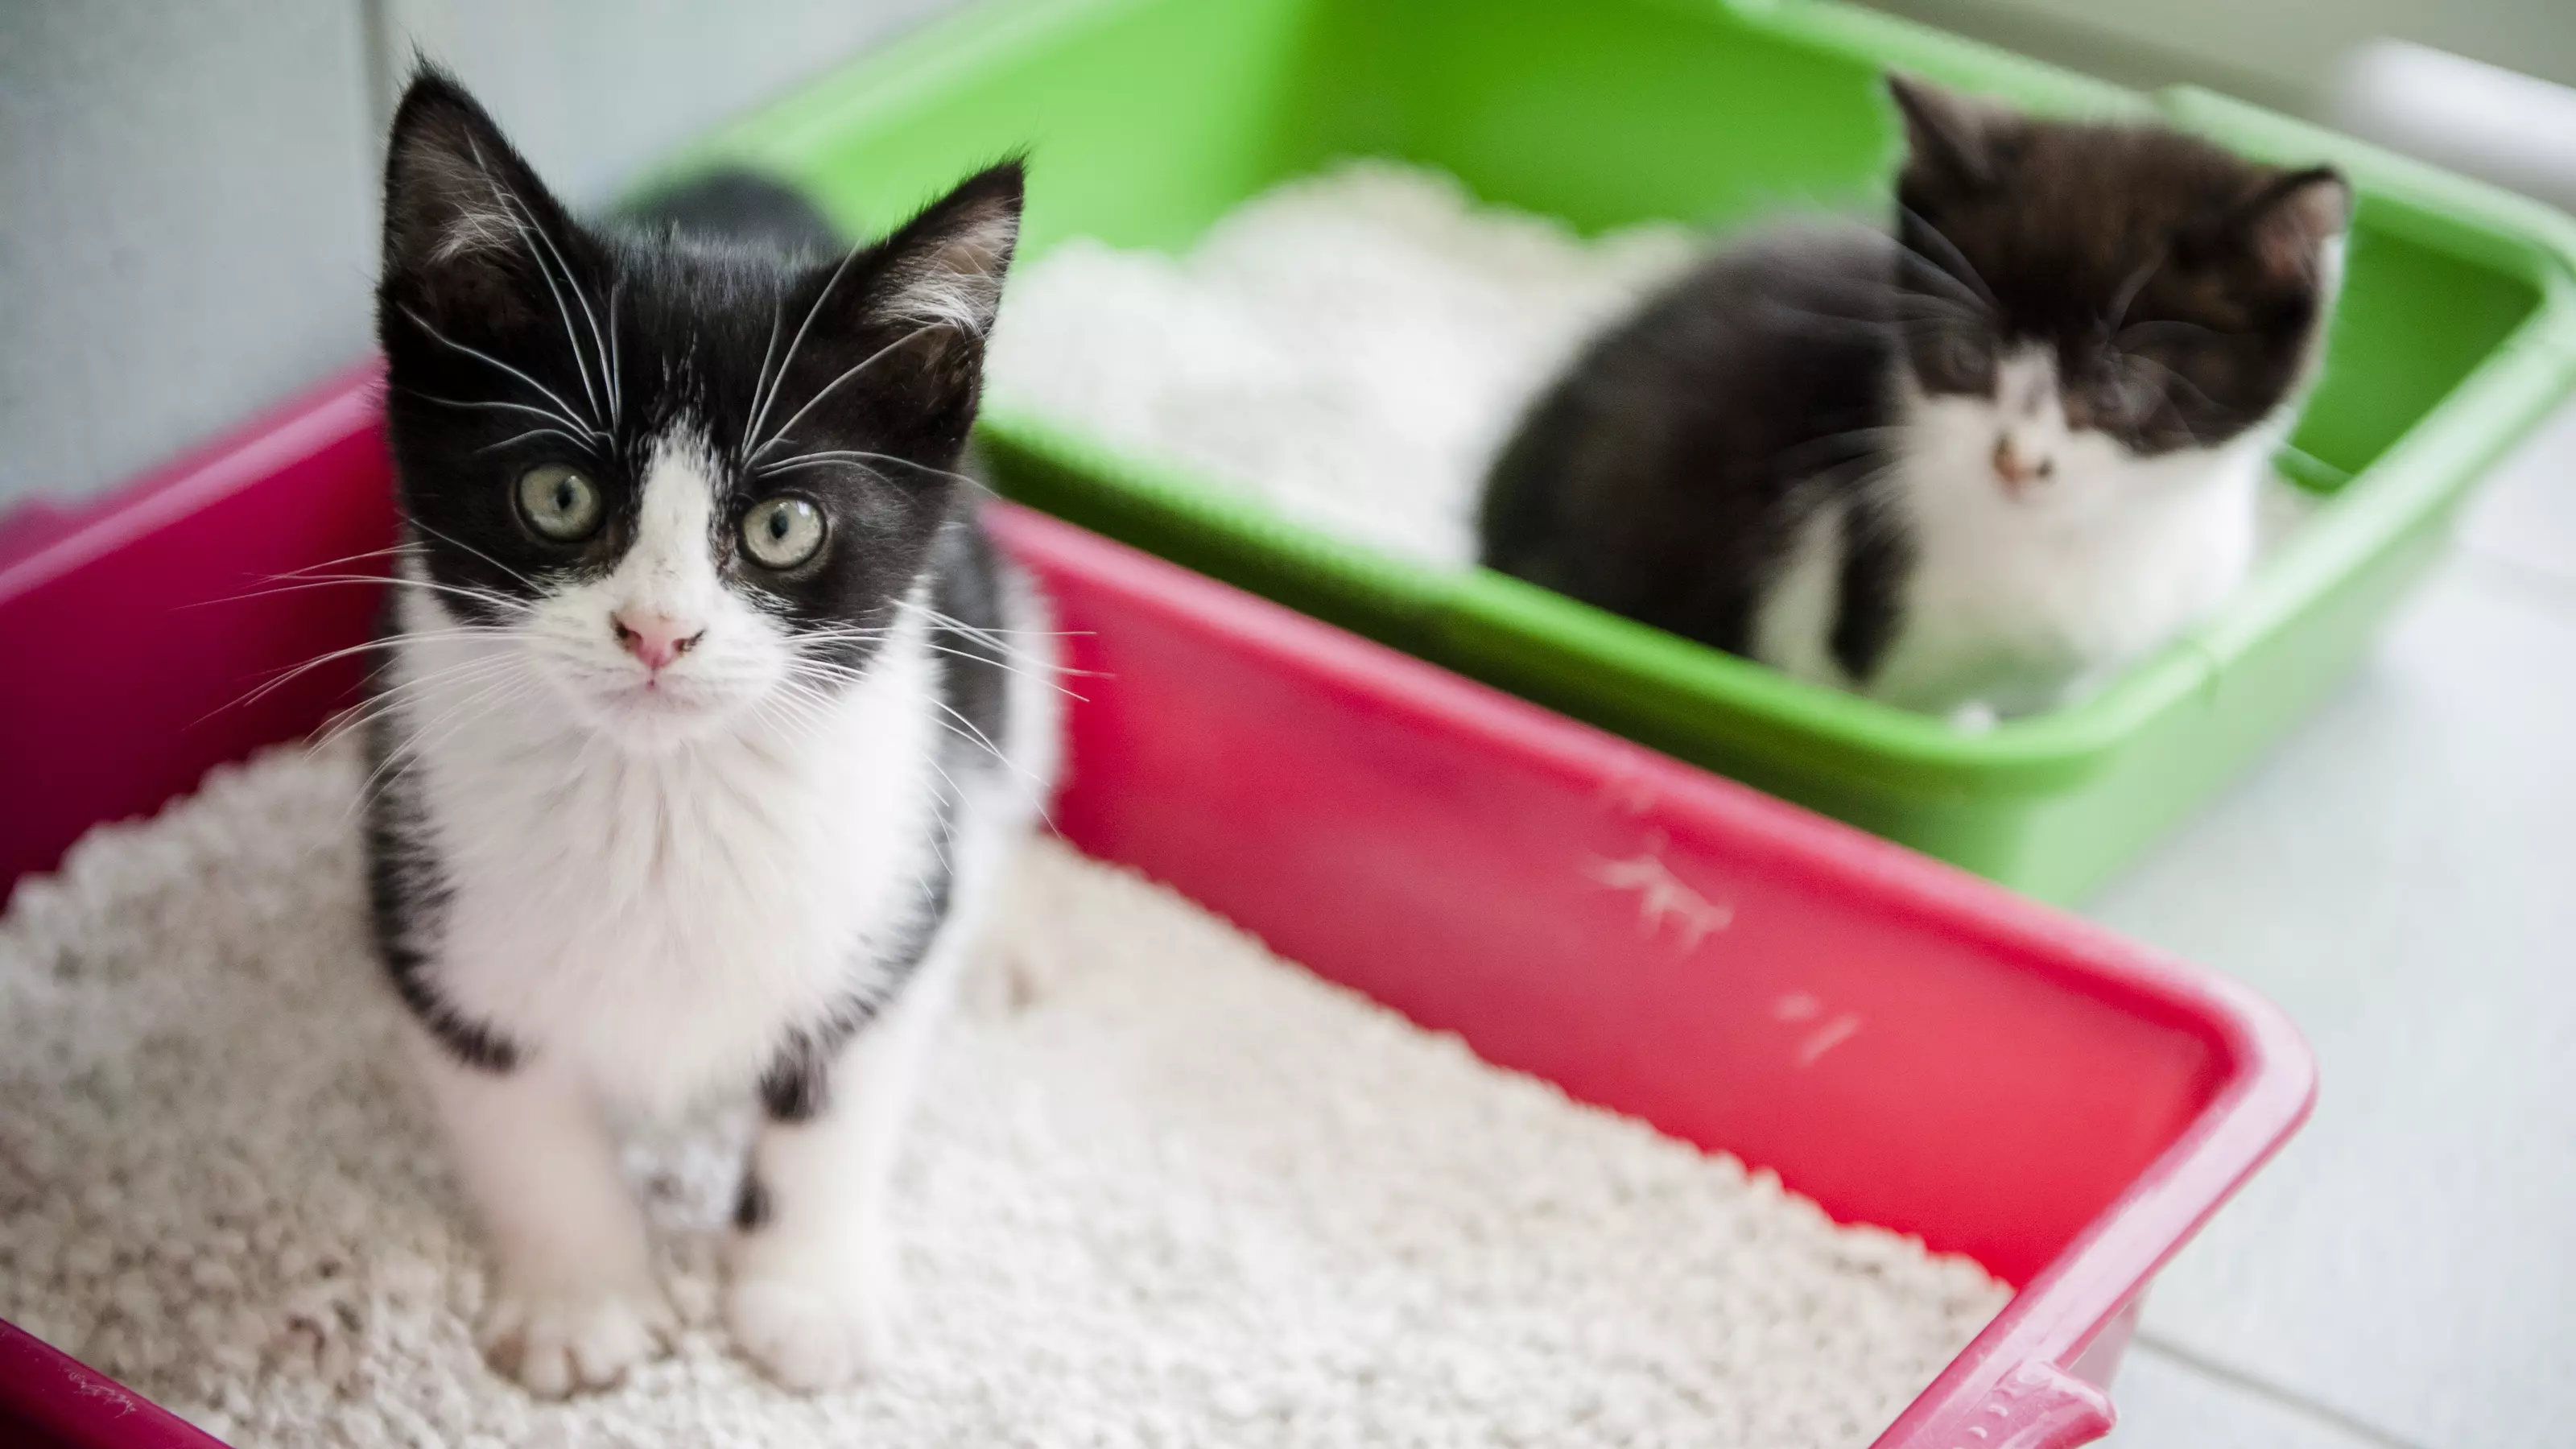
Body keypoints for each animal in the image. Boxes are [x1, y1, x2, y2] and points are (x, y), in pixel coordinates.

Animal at [363, 73, 1056, 1392]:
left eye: (784, 526)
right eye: (560, 496)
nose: (658, 632)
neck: (661, 796)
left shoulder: (889, 906)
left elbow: (834, 1112)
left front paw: (806, 1299)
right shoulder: (423, 915)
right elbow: (523, 1123)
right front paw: (582, 1301)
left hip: (1005, 649)